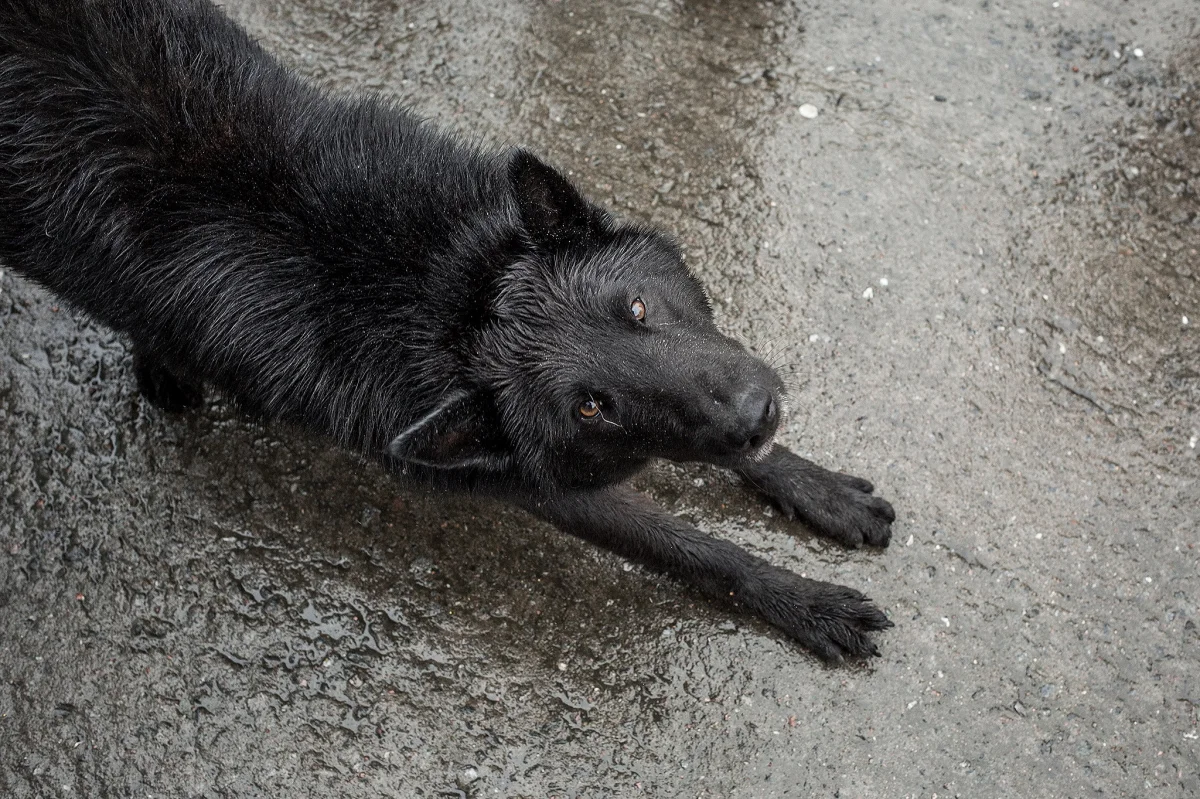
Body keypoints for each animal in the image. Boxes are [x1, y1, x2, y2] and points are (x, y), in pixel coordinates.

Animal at [0, 0, 897, 657]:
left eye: (637, 310)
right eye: (591, 407)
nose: (756, 413)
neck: (441, 294)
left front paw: (812, 485)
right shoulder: (539, 484)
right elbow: (691, 547)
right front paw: (803, 601)